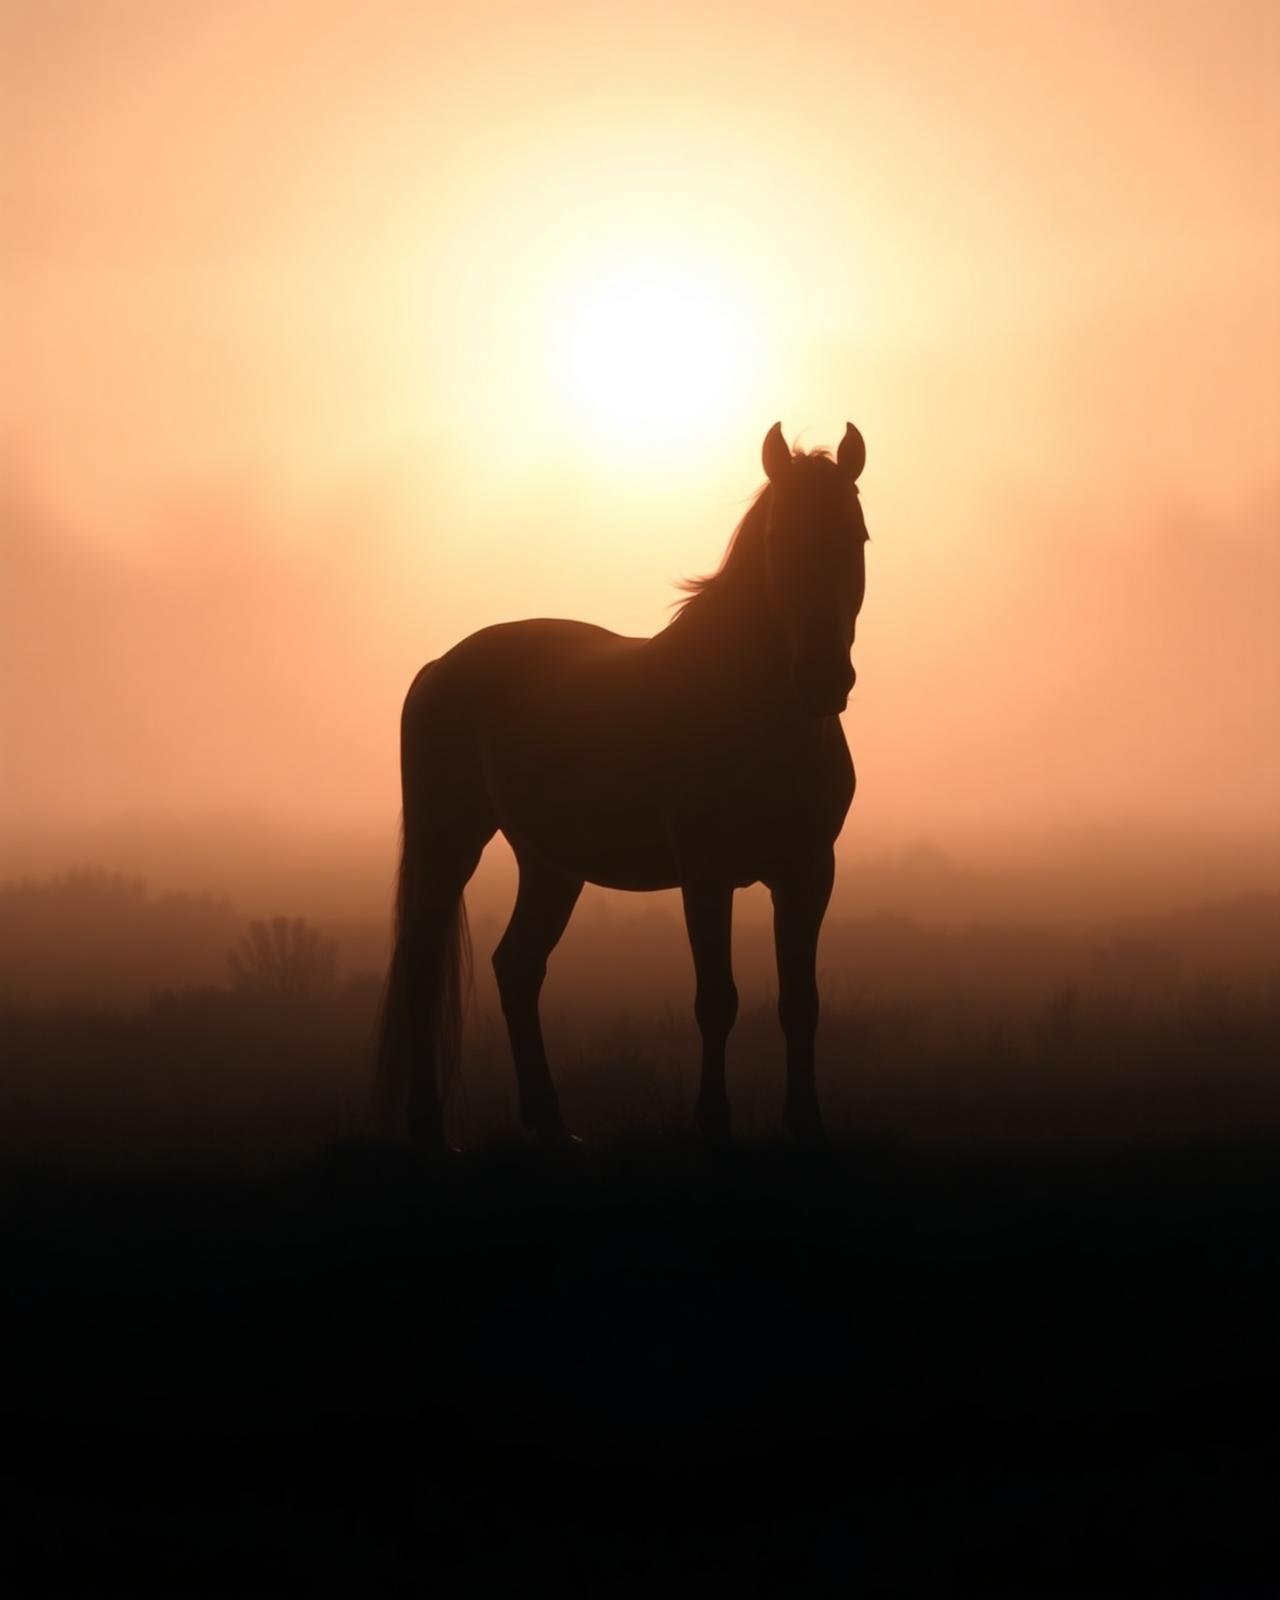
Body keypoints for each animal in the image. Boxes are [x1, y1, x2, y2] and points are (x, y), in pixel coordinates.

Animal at [375, 421, 870, 1152]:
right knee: (423, 962)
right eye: (779, 540)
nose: (822, 681)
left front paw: (805, 1123)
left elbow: (799, 1002)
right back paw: (431, 1128)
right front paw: (712, 1123)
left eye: (856, 537)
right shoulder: (706, 873)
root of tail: (441, 666)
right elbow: (716, 999)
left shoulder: (809, 872)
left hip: (550, 864)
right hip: (450, 840)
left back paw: (552, 1125)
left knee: (517, 967)